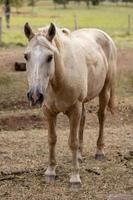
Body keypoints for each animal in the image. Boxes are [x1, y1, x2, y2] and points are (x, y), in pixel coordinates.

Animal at [23, 22, 116, 187]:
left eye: (50, 57)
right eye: (26, 56)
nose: (34, 95)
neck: (59, 80)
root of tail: (105, 36)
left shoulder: (74, 110)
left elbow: (72, 142)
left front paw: (75, 178)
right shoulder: (49, 112)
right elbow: (52, 139)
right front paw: (50, 172)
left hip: (104, 91)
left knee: (101, 117)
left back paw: (99, 151)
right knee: (83, 121)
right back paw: (79, 155)